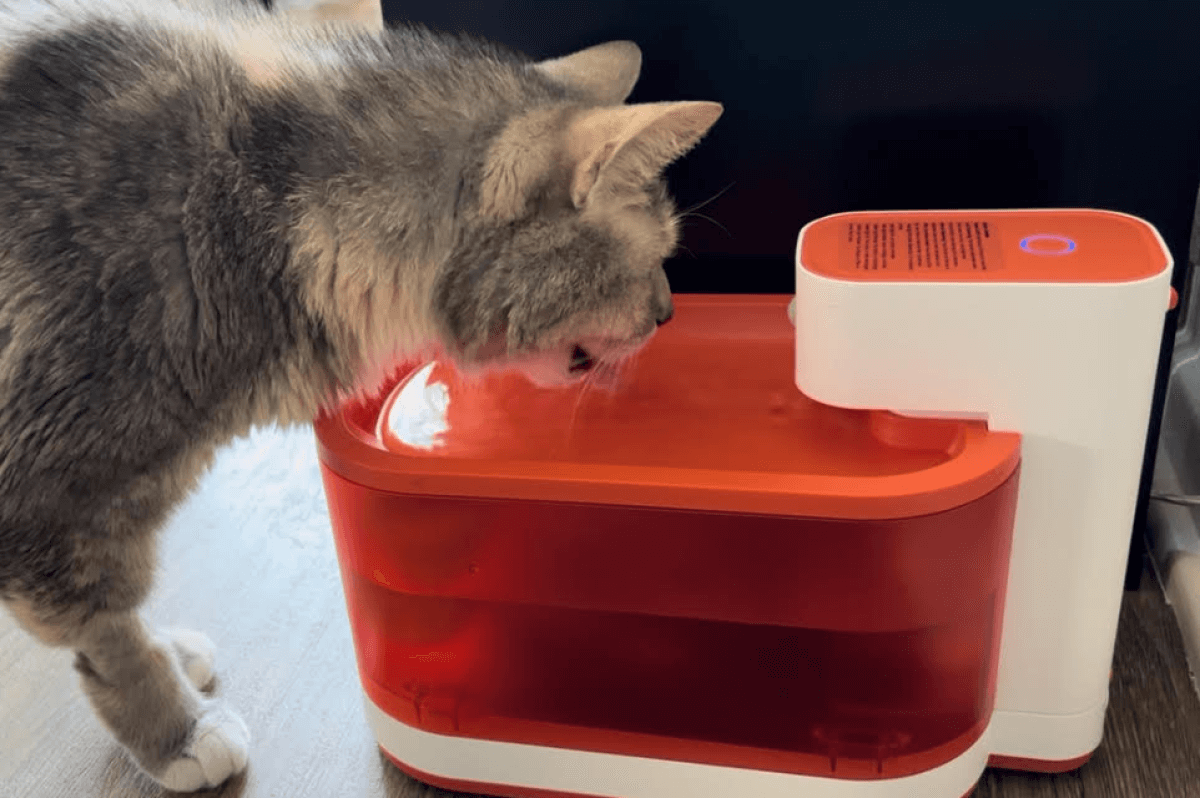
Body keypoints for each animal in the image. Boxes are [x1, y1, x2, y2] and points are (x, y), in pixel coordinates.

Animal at [0, 0, 720, 787]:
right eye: (656, 258)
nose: (669, 313)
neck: (260, 205)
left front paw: (173, 659)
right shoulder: (48, 504)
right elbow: (111, 636)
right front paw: (177, 731)